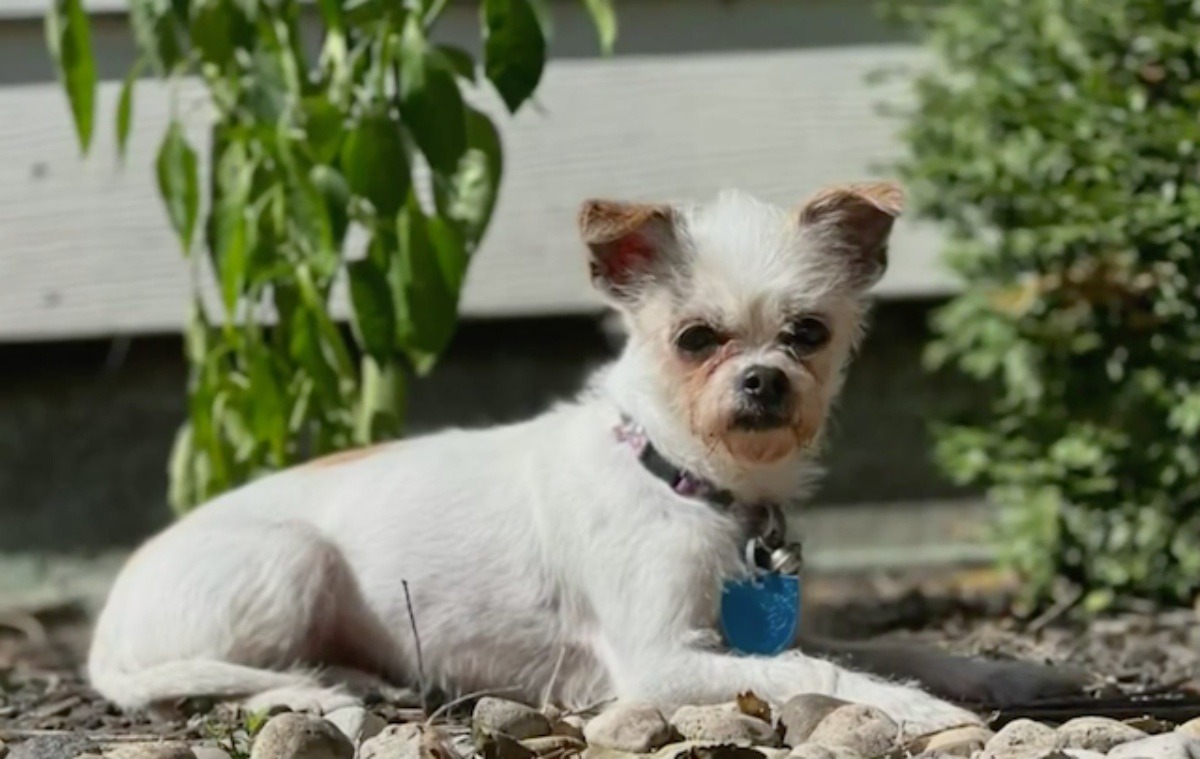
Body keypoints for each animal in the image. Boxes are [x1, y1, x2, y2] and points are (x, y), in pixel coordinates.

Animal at [88, 182, 1075, 730]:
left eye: (807, 332)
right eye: (695, 338)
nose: (764, 380)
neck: (689, 480)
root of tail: (105, 626)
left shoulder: (749, 628)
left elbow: (891, 643)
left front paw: (1003, 669)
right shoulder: (662, 658)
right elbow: (824, 670)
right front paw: (922, 710)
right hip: (291, 561)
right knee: (186, 685)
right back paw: (316, 690)